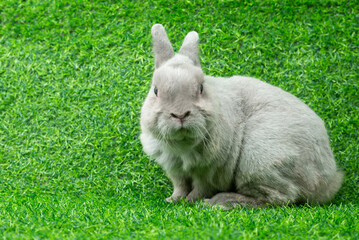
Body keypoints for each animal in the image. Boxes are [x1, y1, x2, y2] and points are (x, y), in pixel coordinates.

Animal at [140, 24, 344, 208]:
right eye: (155, 90)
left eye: (201, 88)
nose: (180, 114)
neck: (183, 145)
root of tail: (328, 178)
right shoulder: (175, 170)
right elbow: (180, 187)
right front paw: (173, 200)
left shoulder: (207, 172)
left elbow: (199, 189)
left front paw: (191, 203)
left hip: (259, 160)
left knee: (278, 198)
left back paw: (221, 202)